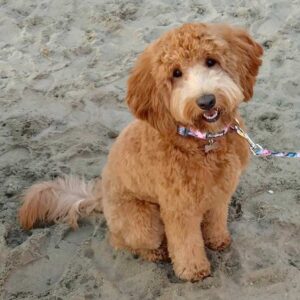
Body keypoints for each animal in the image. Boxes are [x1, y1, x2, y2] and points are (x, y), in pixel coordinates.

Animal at [19, 22, 262, 282]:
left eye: (210, 61)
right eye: (176, 73)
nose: (206, 101)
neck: (204, 140)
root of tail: (101, 199)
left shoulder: (220, 193)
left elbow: (216, 220)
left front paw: (218, 240)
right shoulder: (178, 208)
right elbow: (186, 243)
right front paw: (194, 270)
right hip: (144, 222)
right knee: (123, 241)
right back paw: (156, 252)